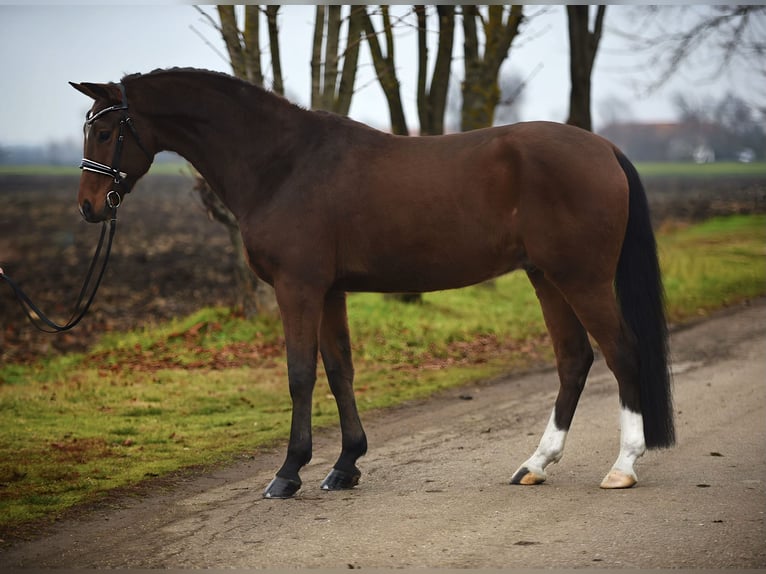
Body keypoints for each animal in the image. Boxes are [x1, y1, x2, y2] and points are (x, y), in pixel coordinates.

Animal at [70, 67, 672, 500]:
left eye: (104, 130)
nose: (89, 207)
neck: (283, 164)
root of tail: (603, 149)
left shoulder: (298, 288)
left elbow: (299, 374)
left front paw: (288, 473)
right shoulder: (329, 291)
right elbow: (340, 371)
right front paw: (345, 466)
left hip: (582, 279)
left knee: (623, 352)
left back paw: (623, 467)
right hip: (546, 277)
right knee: (574, 360)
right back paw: (535, 464)